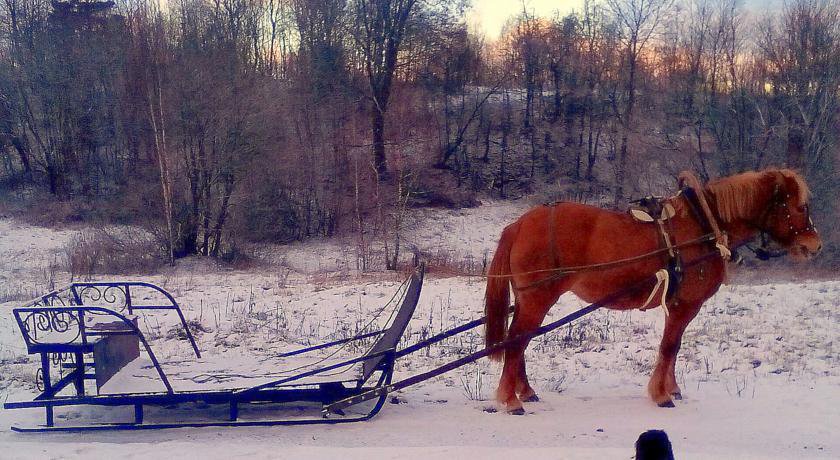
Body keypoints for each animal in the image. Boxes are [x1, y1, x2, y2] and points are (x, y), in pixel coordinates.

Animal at [486, 169, 820, 414]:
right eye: (800, 206)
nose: (815, 245)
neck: (703, 225)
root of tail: (519, 224)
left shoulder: (682, 306)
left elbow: (674, 347)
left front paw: (672, 388)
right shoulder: (685, 304)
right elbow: (669, 347)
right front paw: (661, 395)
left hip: (528, 299)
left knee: (519, 341)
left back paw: (524, 391)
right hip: (537, 298)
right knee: (516, 341)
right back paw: (511, 400)